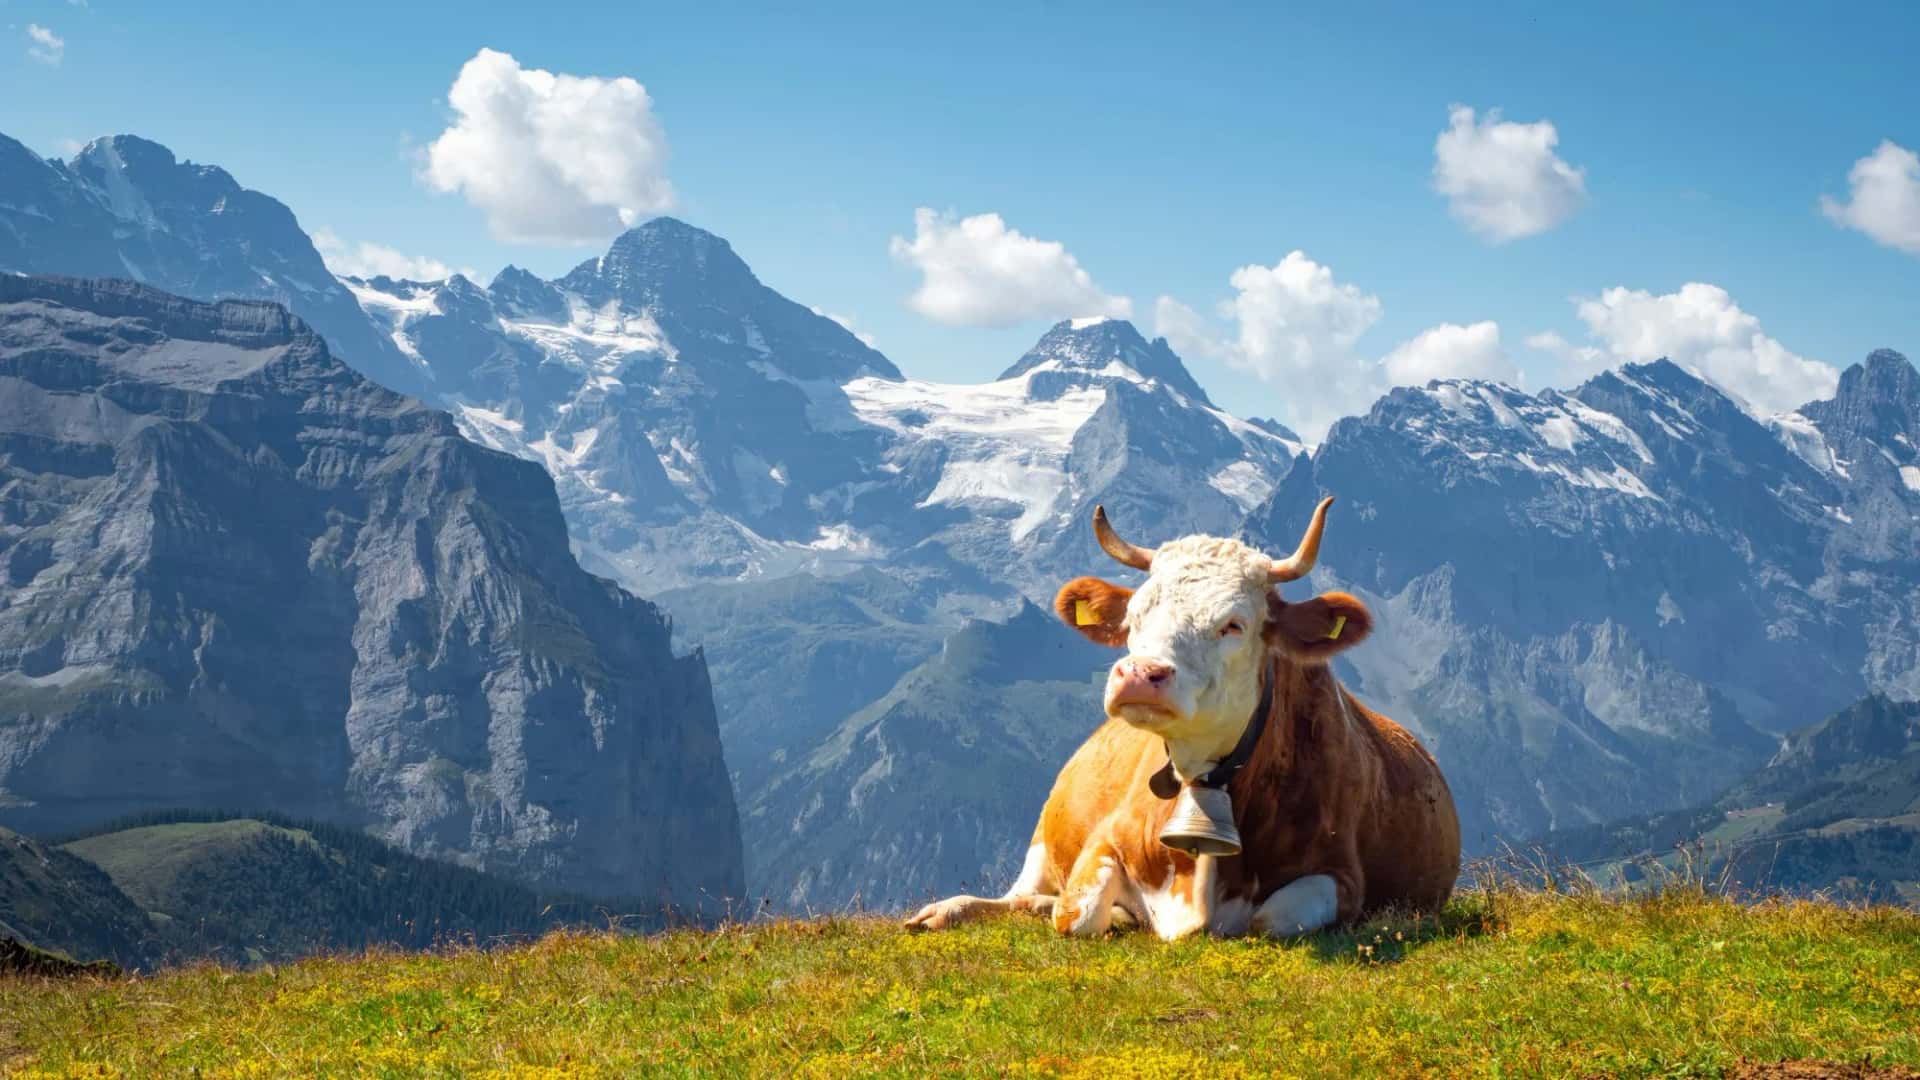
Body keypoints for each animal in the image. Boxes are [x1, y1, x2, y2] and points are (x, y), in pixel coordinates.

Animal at [904, 497, 1460, 940]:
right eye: (1134, 616)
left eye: (1234, 625)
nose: (1138, 674)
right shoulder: (1104, 837)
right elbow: (1076, 913)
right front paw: (1115, 912)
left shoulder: (1342, 875)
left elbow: (1266, 920)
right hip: (1042, 842)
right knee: (1018, 895)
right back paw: (944, 911)